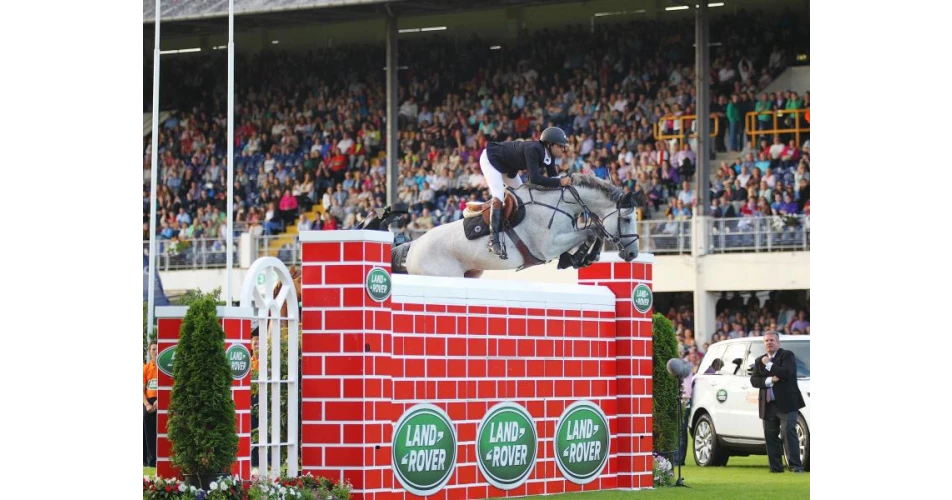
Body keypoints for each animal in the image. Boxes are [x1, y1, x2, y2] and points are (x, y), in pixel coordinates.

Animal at [372, 175, 640, 278]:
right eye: (627, 219)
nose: (632, 254)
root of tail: (414, 246)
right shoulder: (549, 246)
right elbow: (592, 231)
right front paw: (580, 258)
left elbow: (592, 232)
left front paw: (580, 258)